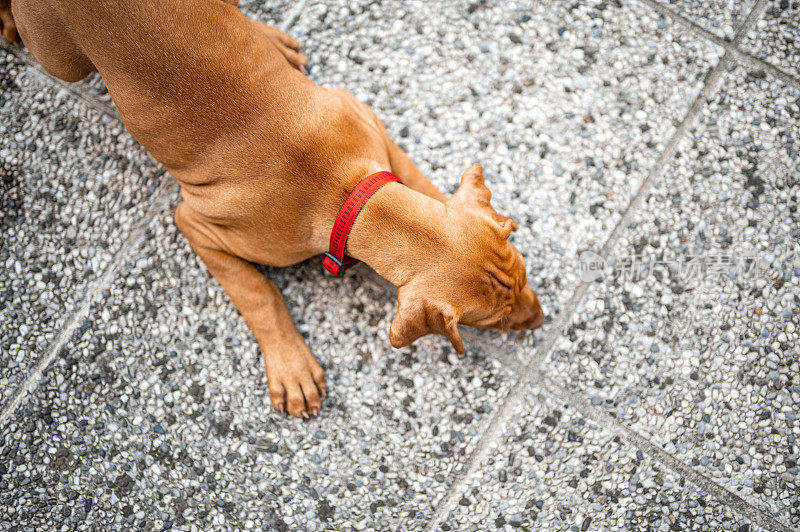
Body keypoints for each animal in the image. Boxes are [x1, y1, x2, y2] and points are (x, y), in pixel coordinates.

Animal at [3, 0, 544, 418]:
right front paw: (292, 367)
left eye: (523, 275)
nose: (540, 320)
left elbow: (426, 185)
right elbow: (258, 292)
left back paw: (269, 39)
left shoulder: (380, 145)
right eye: (488, 322)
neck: (348, 193)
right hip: (57, 54)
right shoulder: (196, 224)